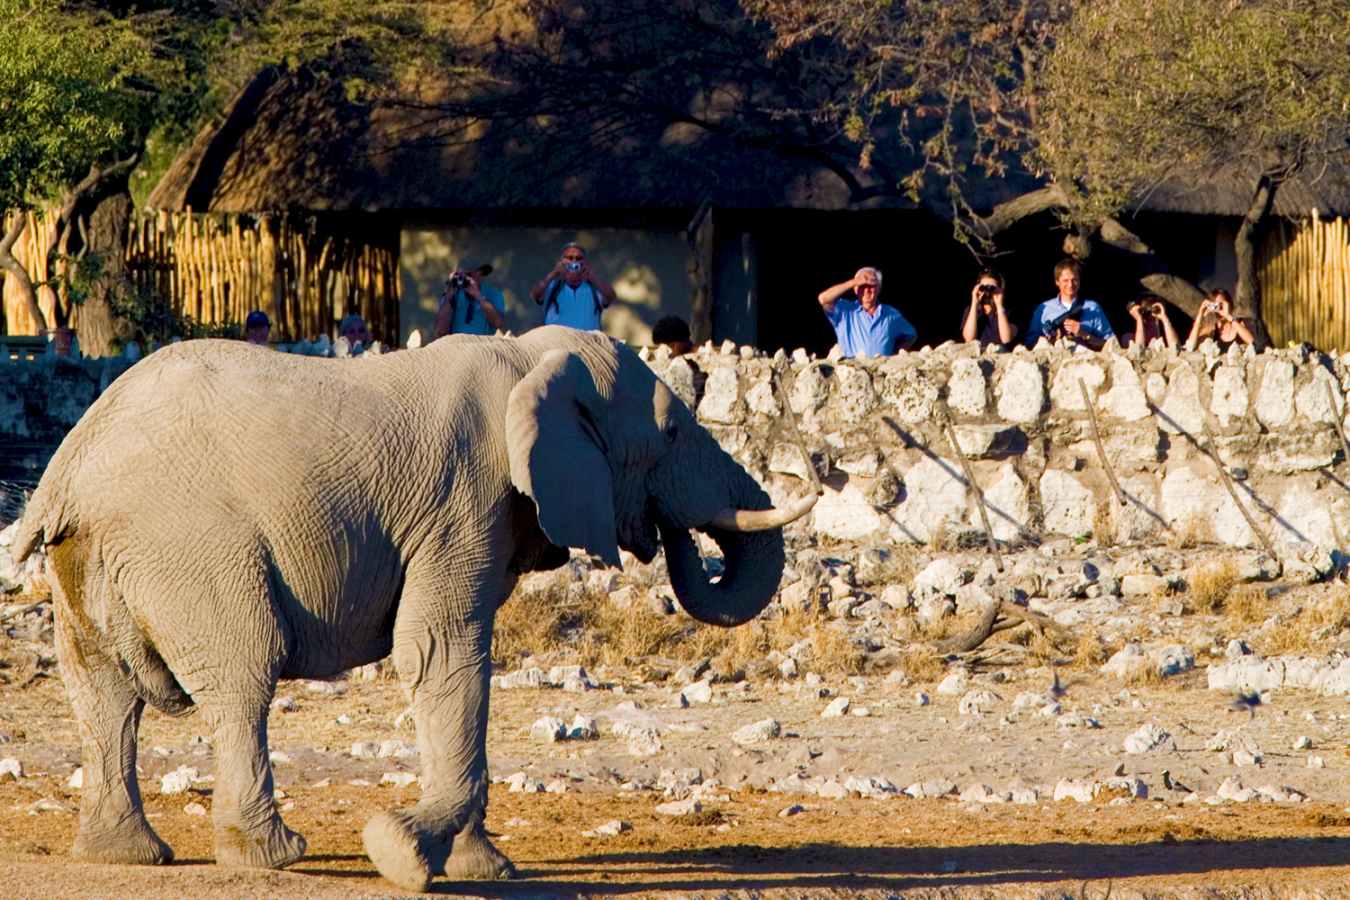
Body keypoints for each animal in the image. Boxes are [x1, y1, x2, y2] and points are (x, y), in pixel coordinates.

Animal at [11, 326, 815, 891]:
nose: (668, 533)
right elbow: (441, 652)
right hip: (191, 547)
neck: (529, 357)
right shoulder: (465, 503)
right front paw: (404, 853)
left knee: (103, 697)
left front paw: (479, 867)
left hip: (89, 559)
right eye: (672, 433)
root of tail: (67, 468)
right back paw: (272, 856)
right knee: (243, 677)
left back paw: (127, 856)